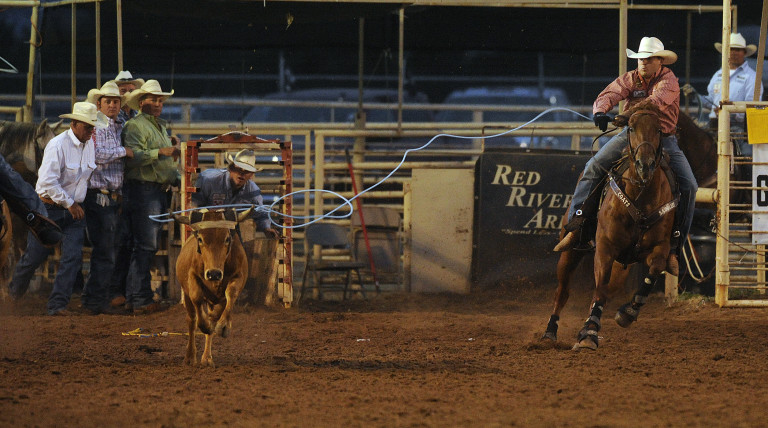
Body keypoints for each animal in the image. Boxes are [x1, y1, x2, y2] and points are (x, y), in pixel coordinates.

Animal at [544, 107, 676, 352]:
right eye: (631, 127)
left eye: (659, 130)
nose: (645, 165)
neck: (640, 197)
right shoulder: (605, 248)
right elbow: (599, 287)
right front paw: (589, 333)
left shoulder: (660, 247)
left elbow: (654, 271)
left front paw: (628, 312)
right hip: (570, 253)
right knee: (563, 291)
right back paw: (550, 332)